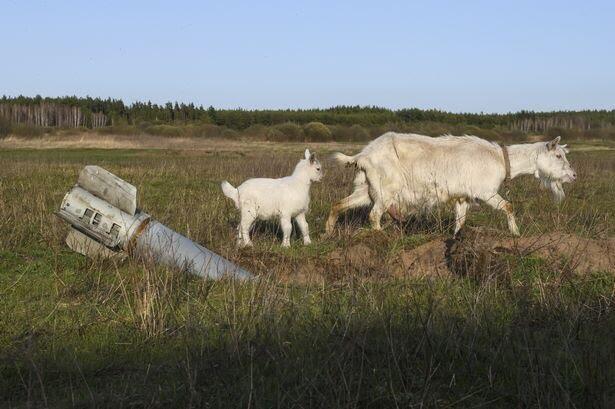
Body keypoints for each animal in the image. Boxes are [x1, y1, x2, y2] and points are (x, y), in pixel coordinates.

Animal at [328, 132, 576, 236]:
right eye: (558, 156)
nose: (573, 176)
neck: (501, 159)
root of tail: (363, 155)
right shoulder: (485, 192)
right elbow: (508, 206)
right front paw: (516, 234)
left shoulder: (462, 197)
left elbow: (460, 221)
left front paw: (456, 238)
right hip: (386, 189)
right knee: (374, 215)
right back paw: (381, 236)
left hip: (368, 188)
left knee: (339, 204)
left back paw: (328, 232)